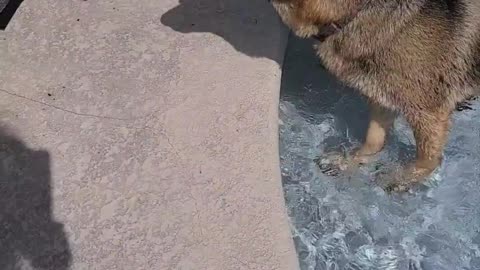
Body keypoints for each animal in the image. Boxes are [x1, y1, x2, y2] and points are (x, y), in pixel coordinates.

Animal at [272, 0, 478, 192]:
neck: (357, 12)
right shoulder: (382, 97)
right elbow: (374, 140)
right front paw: (349, 161)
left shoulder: (428, 113)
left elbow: (427, 159)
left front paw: (401, 179)